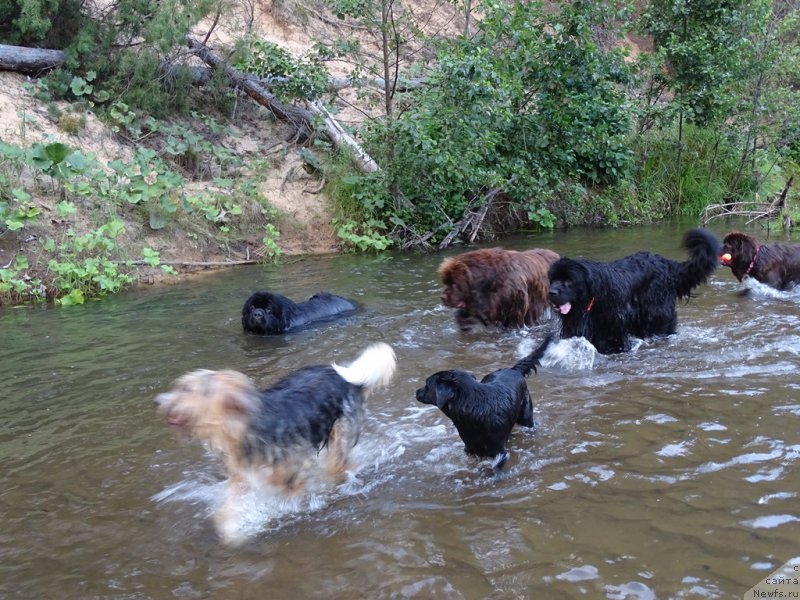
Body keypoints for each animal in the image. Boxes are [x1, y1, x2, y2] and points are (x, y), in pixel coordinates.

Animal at [416, 336, 552, 466]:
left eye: (427, 384)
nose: (416, 392)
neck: (475, 411)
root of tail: (513, 369)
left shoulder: (499, 452)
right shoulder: (469, 447)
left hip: (526, 417)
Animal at [552, 227, 720, 354]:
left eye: (569, 281)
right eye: (553, 279)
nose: (551, 292)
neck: (593, 297)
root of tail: (667, 264)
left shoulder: (613, 329)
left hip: (658, 314)